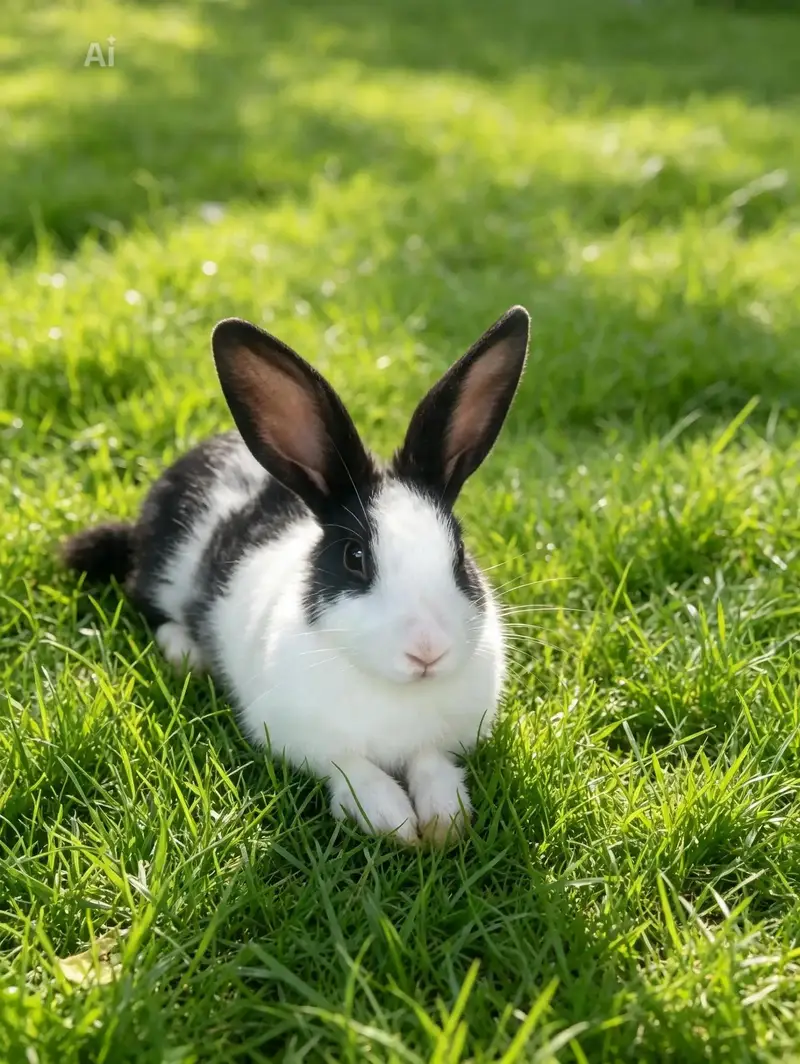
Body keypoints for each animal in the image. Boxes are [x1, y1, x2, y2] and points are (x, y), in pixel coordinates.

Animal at [62, 305, 530, 845]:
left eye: (458, 553)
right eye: (354, 557)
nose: (428, 651)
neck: (393, 688)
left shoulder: (440, 740)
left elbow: (430, 761)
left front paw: (443, 822)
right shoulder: (302, 739)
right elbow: (352, 767)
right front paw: (391, 820)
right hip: (163, 574)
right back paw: (187, 655)